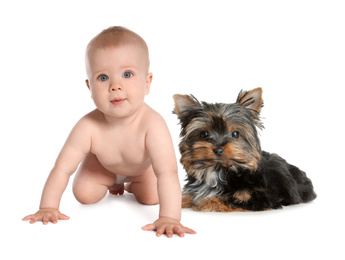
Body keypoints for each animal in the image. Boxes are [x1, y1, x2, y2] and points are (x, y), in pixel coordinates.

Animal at [173, 87, 316, 211]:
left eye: (235, 134)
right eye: (203, 134)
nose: (218, 150)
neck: (219, 169)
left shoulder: (258, 197)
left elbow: (228, 199)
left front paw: (204, 202)